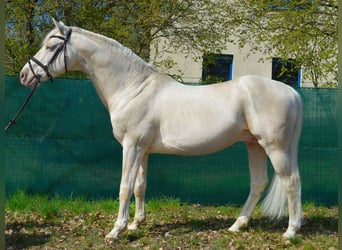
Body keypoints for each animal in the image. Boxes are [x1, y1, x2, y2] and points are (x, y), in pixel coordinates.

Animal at [20, 19, 302, 238]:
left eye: (51, 46)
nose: (24, 75)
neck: (133, 88)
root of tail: (291, 92)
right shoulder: (143, 150)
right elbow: (139, 186)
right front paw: (136, 224)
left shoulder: (131, 146)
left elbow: (124, 187)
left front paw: (116, 230)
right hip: (254, 145)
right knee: (259, 183)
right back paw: (237, 225)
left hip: (274, 148)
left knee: (291, 181)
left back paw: (290, 232)